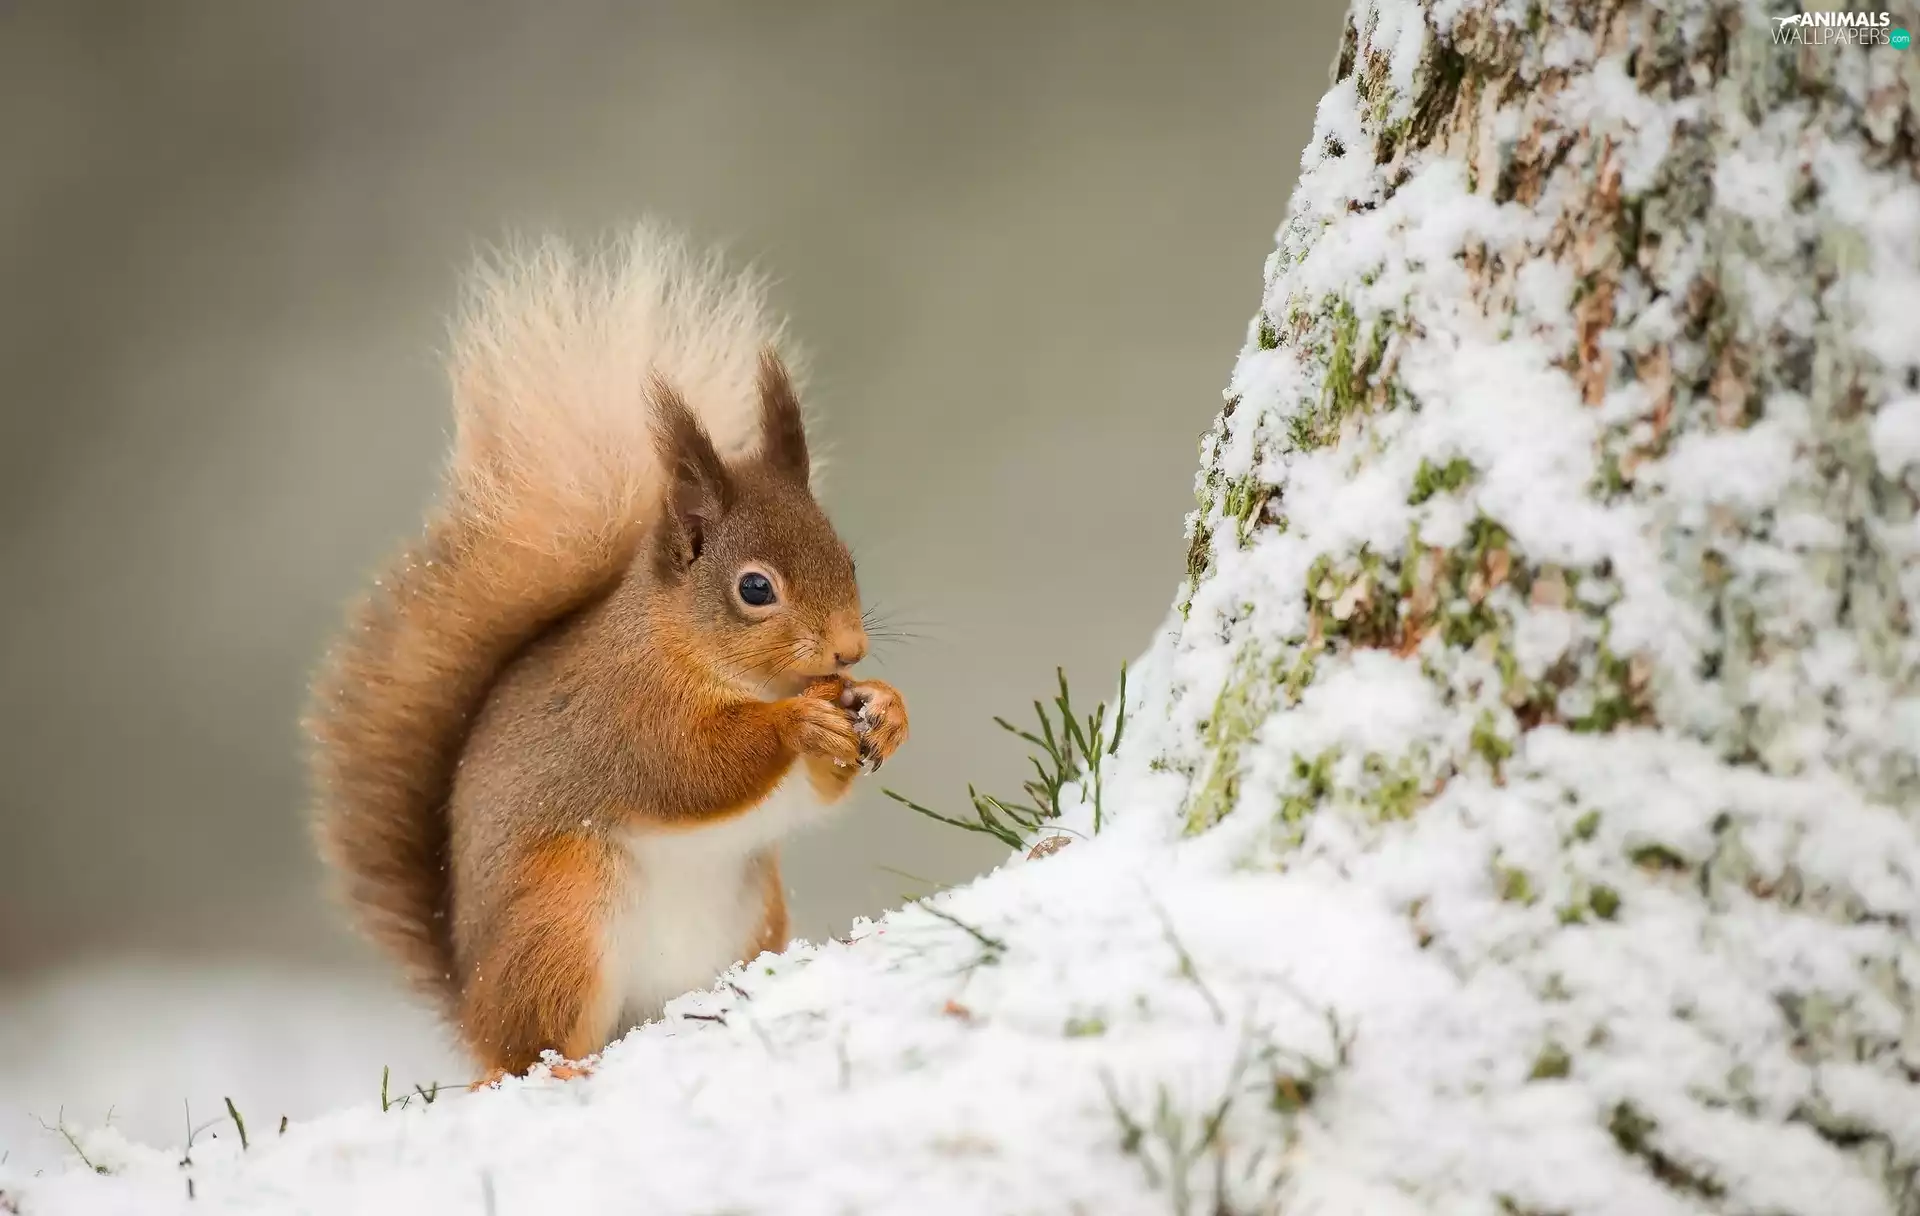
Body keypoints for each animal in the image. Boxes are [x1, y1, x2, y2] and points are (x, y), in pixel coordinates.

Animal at [304, 223, 908, 1081]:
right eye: (756, 589)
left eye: (848, 561)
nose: (849, 651)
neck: (700, 653)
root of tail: (474, 1007)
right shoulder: (623, 711)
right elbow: (688, 768)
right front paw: (799, 721)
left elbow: (810, 792)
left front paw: (887, 709)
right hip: (563, 917)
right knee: (526, 1050)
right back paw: (561, 1067)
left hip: (750, 911)